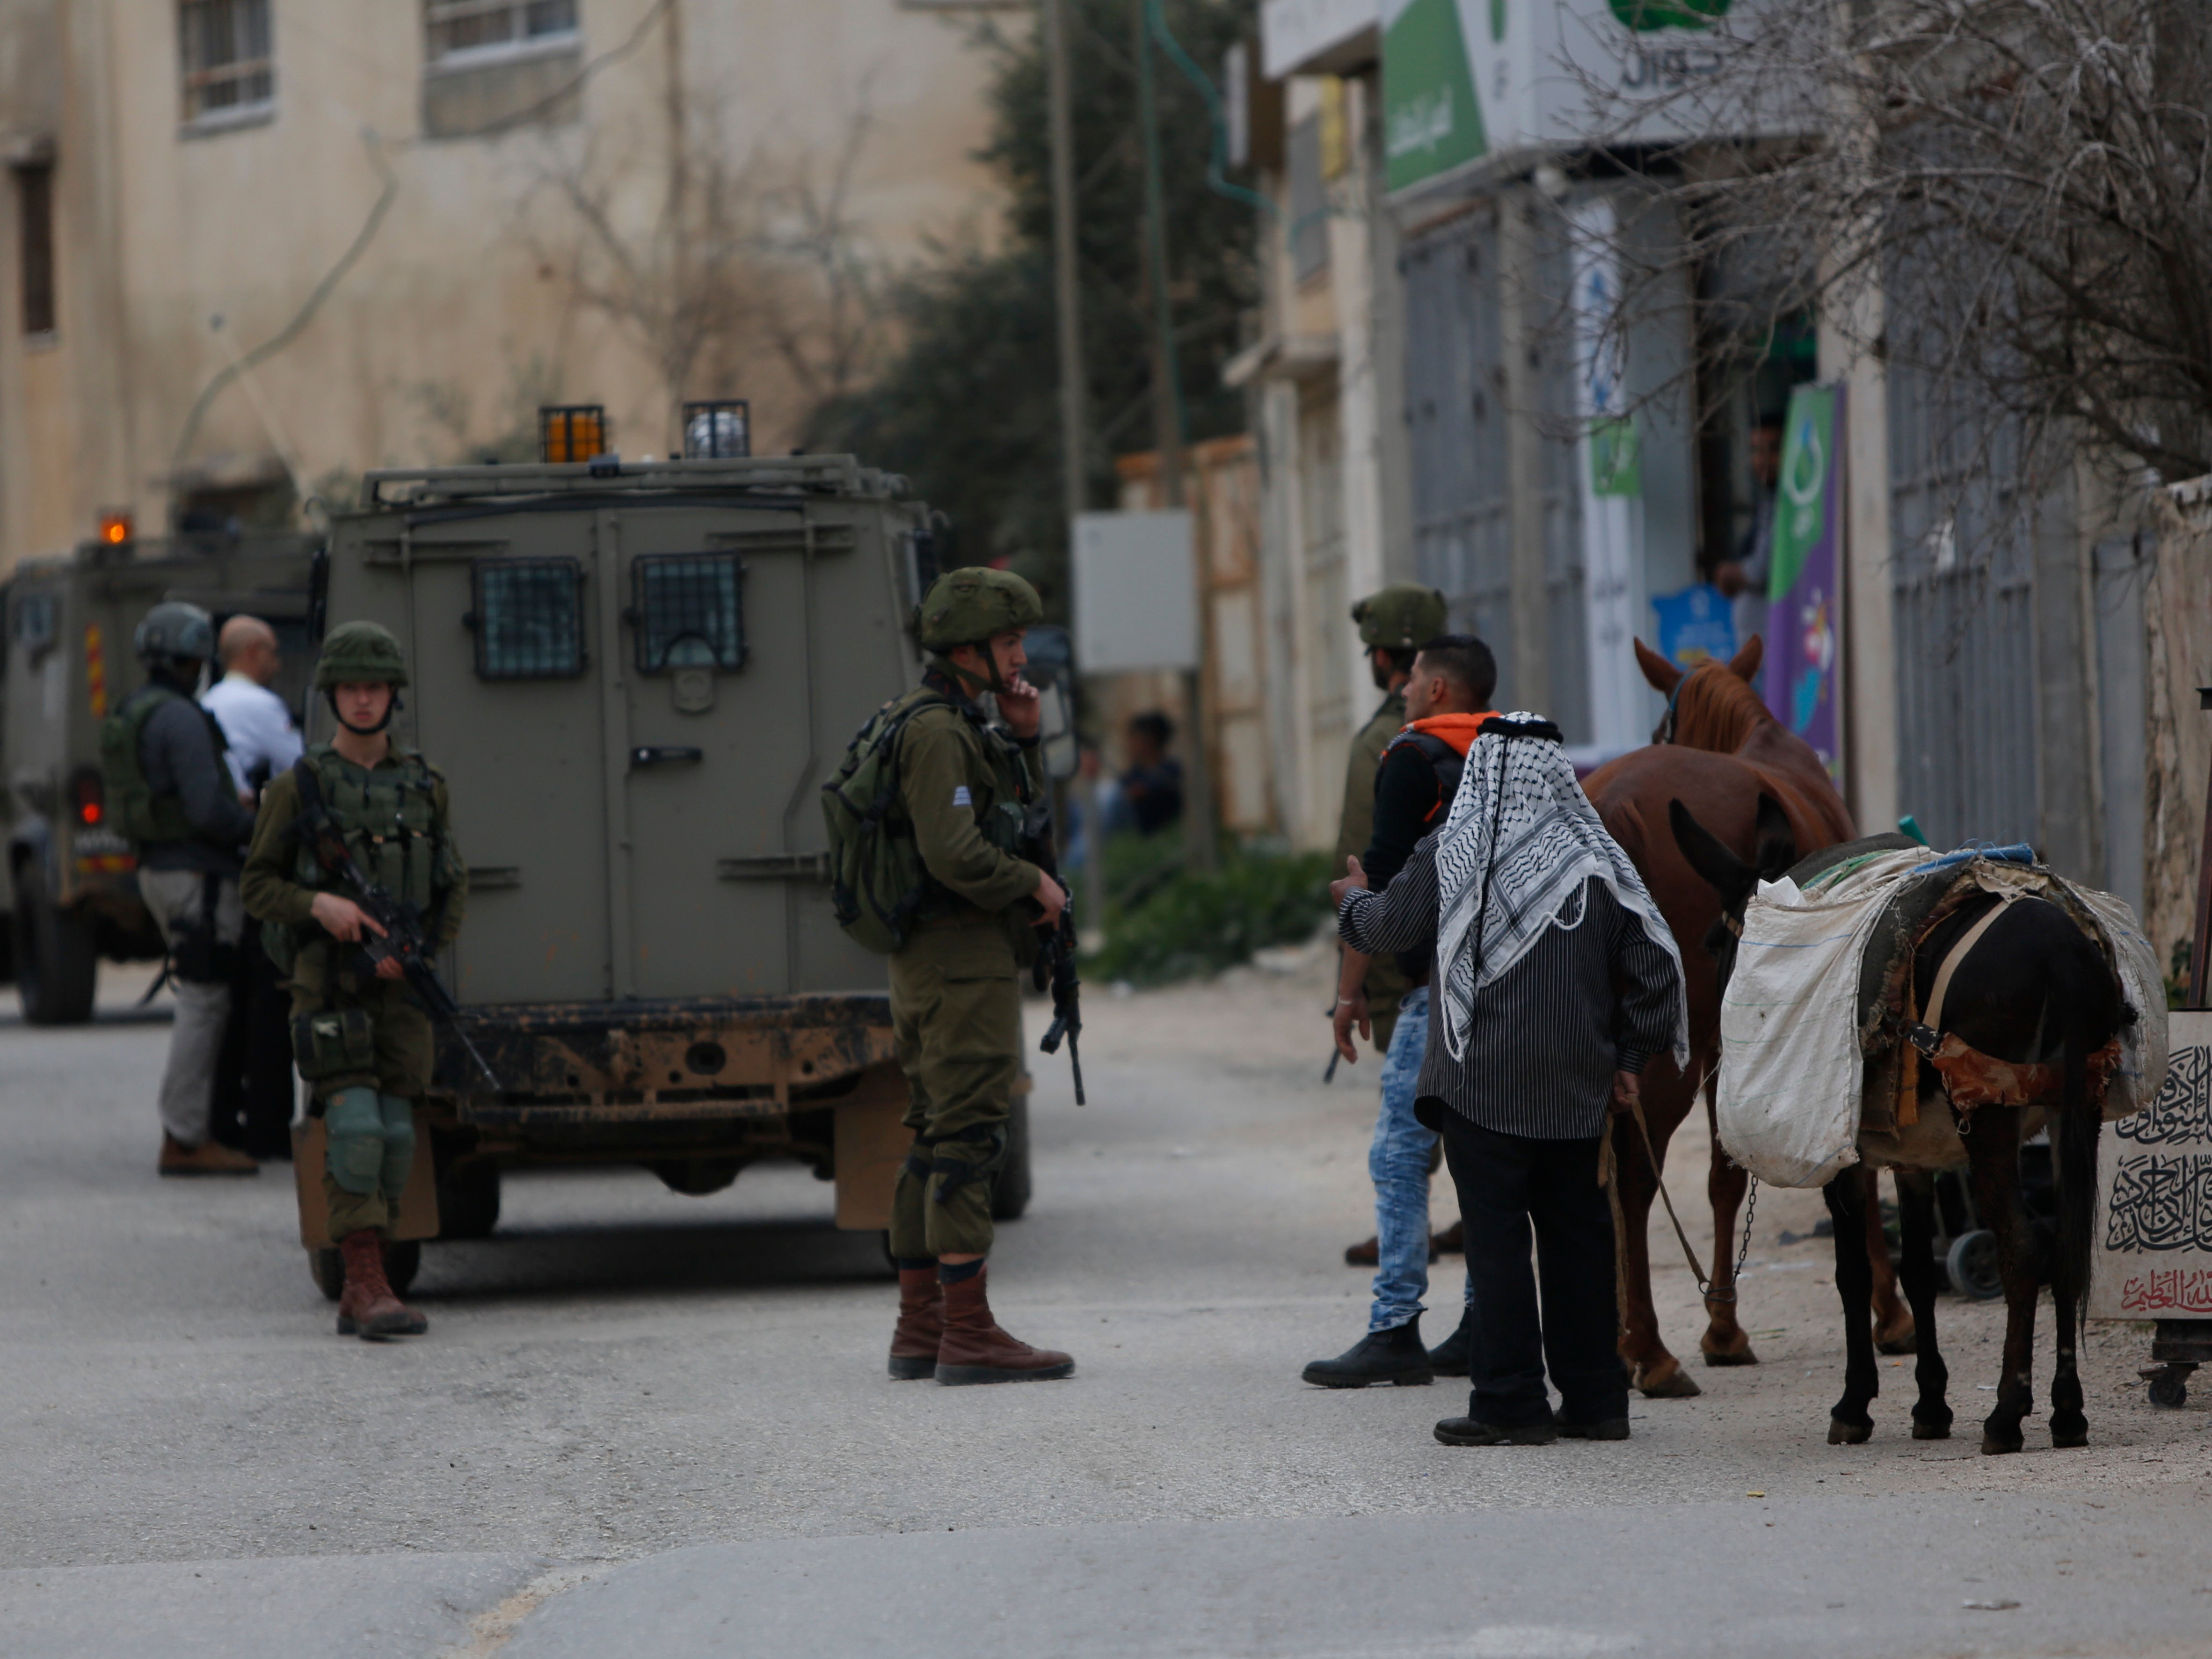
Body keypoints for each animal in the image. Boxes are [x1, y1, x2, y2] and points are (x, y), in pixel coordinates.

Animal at [1584, 641, 1911, 1407]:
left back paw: (1621, 1341)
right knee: (1636, 1175)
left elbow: (1725, 1176)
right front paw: (1887, 1310)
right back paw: (1650, 1350)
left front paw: (1723, 1323)